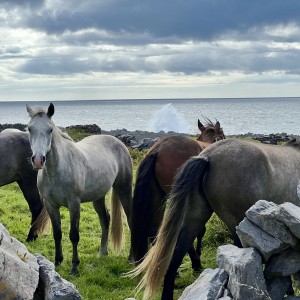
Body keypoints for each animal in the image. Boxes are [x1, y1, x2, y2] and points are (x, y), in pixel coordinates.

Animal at [131, 119, 225, 270]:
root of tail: (158, 149)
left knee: (155, 229)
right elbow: (200, 230)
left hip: (158, 197)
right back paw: (195, 262)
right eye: (221, 133)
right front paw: (198, 252)